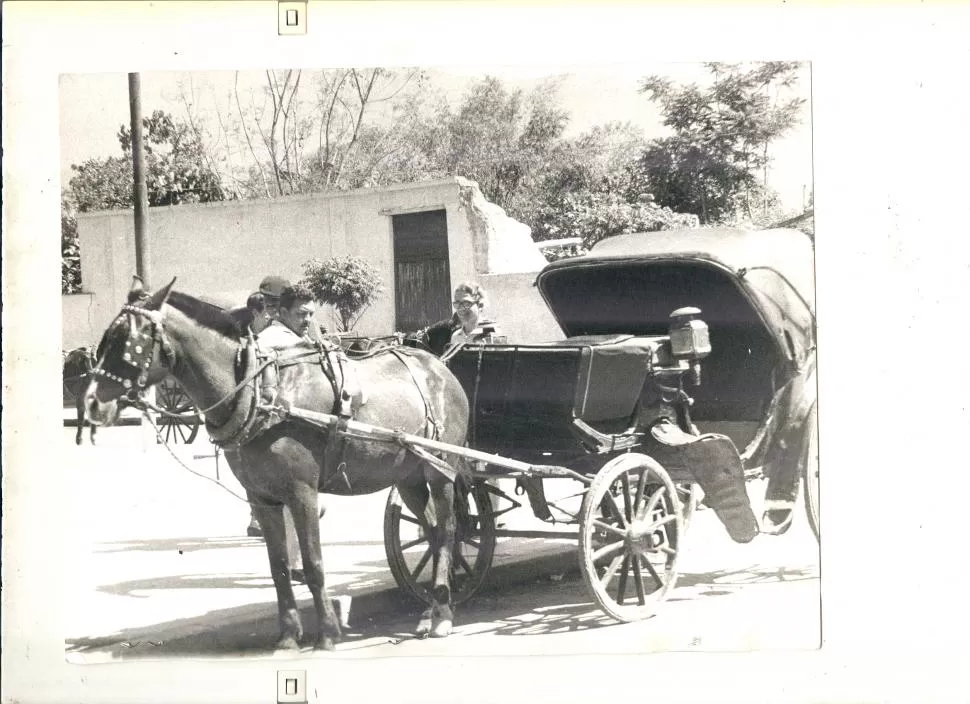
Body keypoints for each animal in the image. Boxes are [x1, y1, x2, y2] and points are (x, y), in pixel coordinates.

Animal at [83, 278, 468, 652]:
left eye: (127, 341)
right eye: (106, 339)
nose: (90, 405)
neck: (260, 391)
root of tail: (438, 367)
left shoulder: (302, 493)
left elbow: (312, 563)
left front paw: (327, 633)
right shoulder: (261, 498)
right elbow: (279, 566)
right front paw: (288, 636)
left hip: (440, 468)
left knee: (449, 529)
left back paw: (443, 613)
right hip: (408, 475)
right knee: (433, 531)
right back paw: (431, 608)